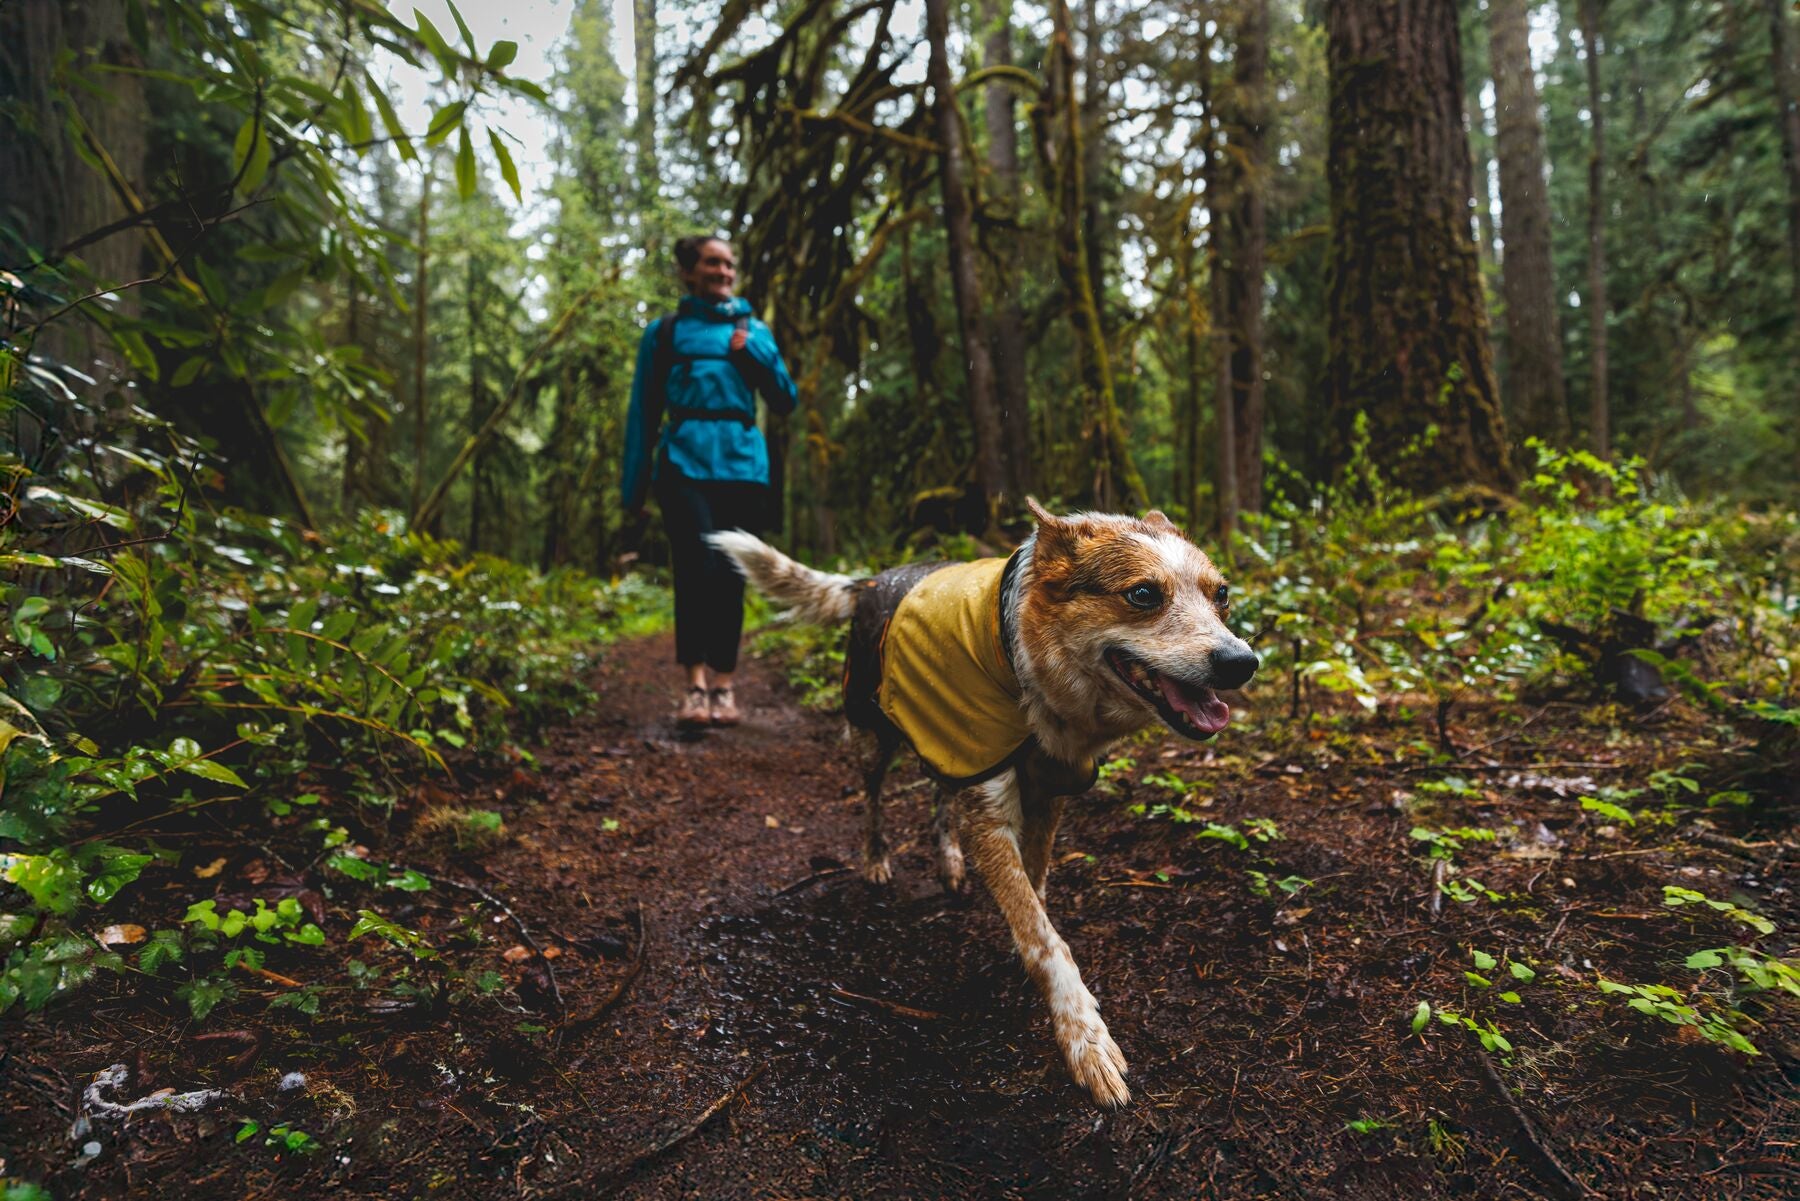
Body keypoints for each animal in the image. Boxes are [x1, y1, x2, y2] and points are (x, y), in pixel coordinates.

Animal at [702, 504, 1252, 1116]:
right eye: (1143, 594)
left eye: (1222, 594)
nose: (1242, 661)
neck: (1030, 669)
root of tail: (872, 579)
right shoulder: (990, 811)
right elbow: (1047, 941)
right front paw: (1085, 1040)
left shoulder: (1047, 793)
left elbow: (1034, 896)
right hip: (874, 736)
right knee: (872, 801)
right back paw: (876, 860)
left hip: (947, 739)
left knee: (940, 798)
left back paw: (948, 863)